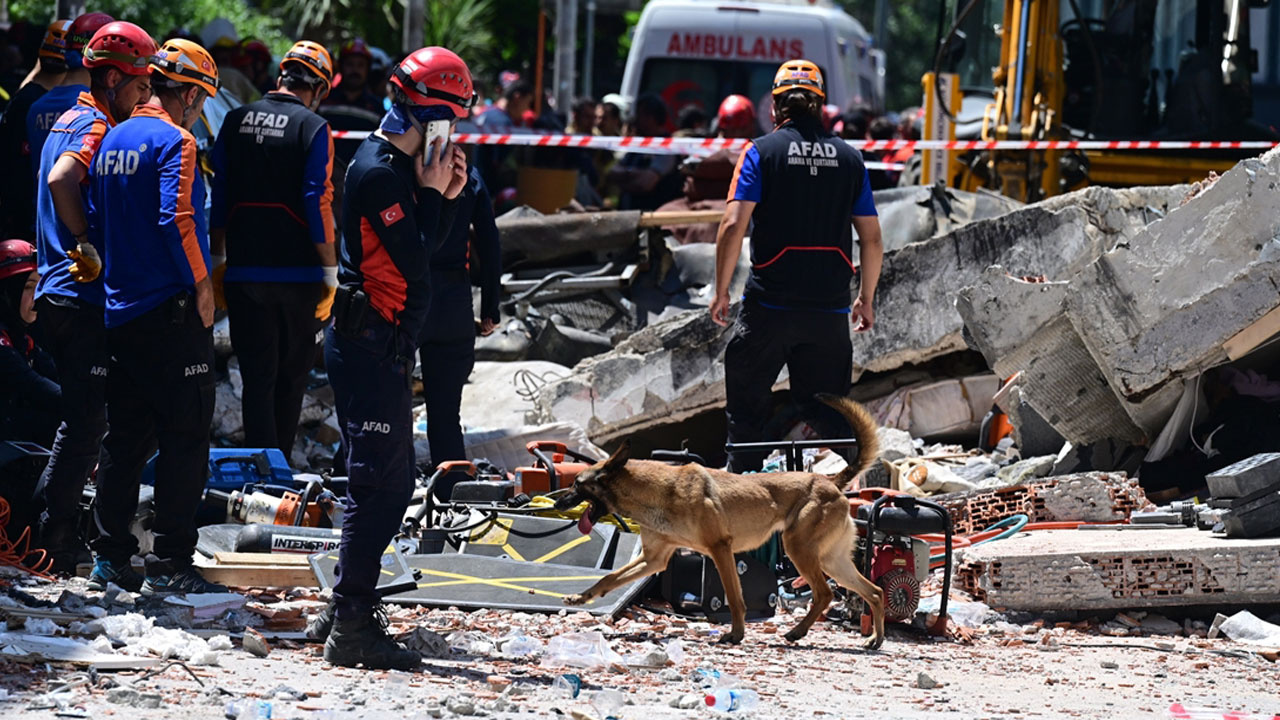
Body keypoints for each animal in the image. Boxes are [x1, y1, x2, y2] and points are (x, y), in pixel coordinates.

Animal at [555, 392, 885, 645]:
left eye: (576, 484)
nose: (557, 501)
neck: (655, 491)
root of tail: (831, 480)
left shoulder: (720, 549)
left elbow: (735, 598)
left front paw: (735, 634)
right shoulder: (654, 559)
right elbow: (610, 578)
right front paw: (580, 599)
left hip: (799, 549)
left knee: (825, 594)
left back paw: (797, 632)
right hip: (832, 560)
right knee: (875, 592)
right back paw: (875, 639)